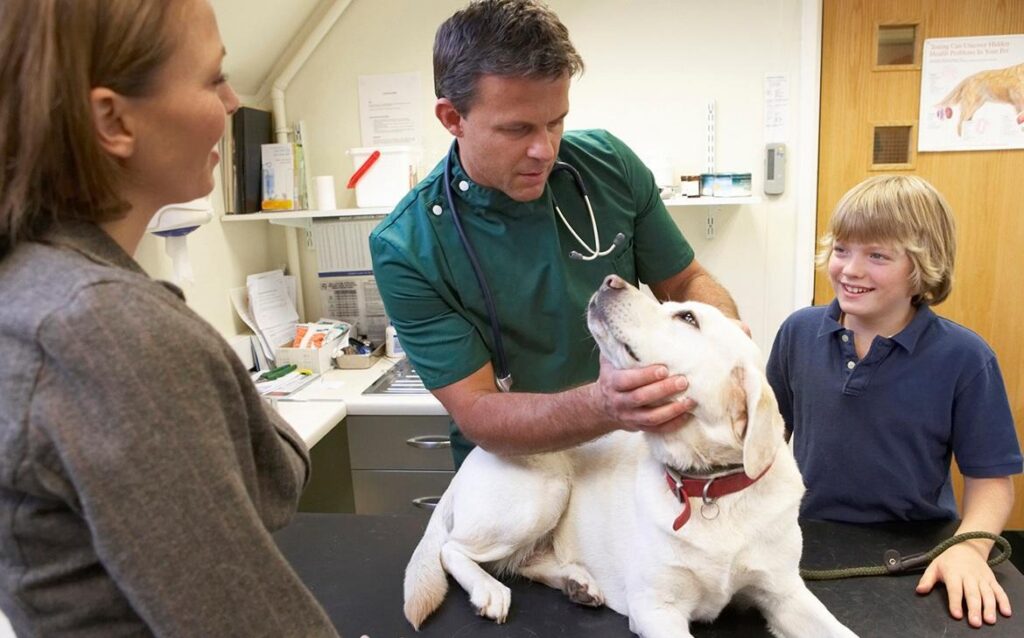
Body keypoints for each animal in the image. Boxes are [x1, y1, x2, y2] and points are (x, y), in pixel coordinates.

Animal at [403, 276, 851, 638]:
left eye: (687, 317)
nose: (609, 281)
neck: (710, 487)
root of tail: (469, 464)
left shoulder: (786, 594)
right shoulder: (656, 608)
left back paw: (577, 581)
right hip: (540, 495)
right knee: (452, 550)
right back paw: (489, 589)